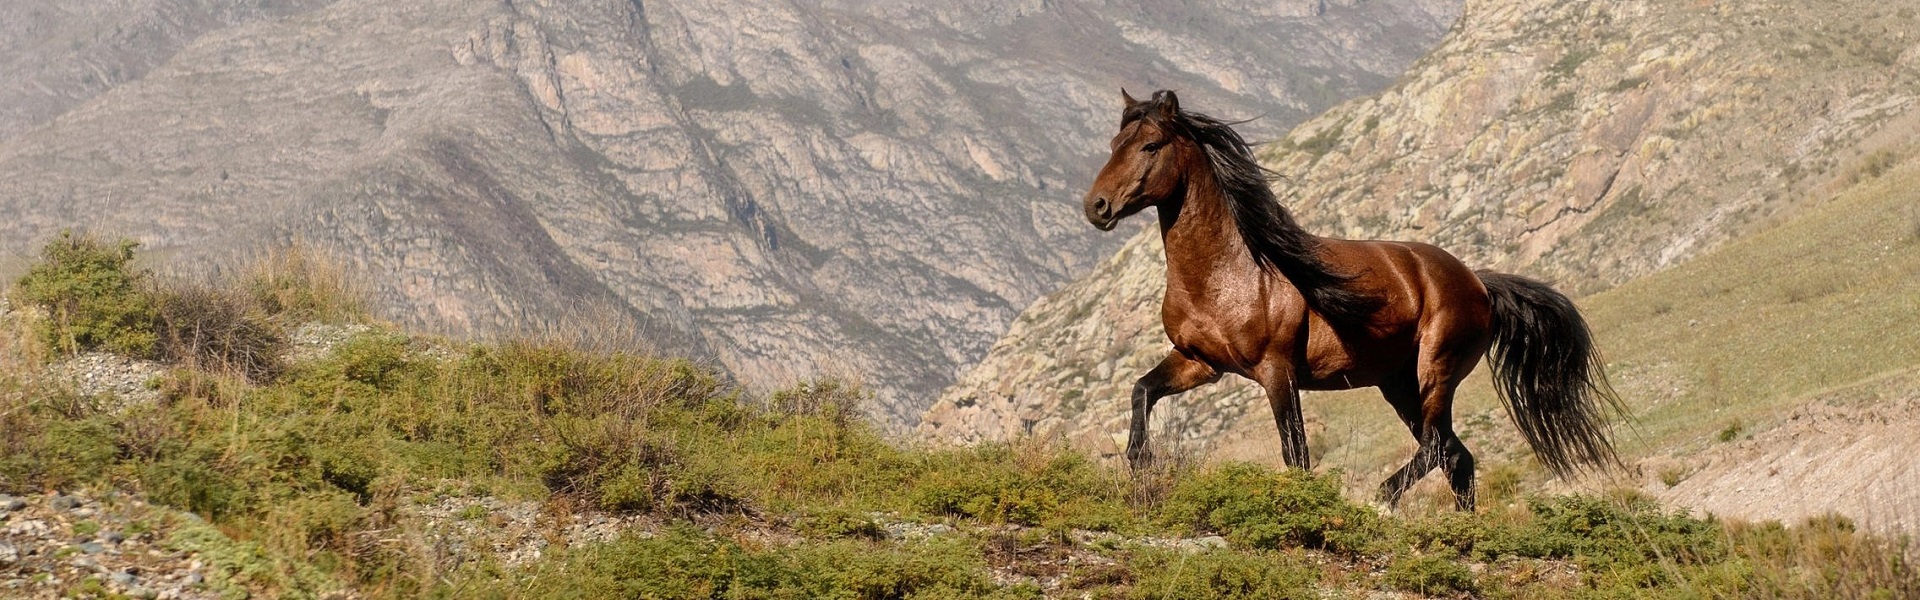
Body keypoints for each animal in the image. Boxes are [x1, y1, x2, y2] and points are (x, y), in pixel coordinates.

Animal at [1082, 90, 1620, 511]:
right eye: (1112, 145)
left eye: (1150, 145)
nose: (1096, 207)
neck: (1228, 272)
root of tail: (1480, 284)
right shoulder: (1199, 362)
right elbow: (1141, 391)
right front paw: (1139, 464)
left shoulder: (1276, 371)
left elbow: (1296, 454)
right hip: (1397, 383)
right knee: (1455, 456)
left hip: (1436, 369)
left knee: (1435, 447)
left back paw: (1382, 499)